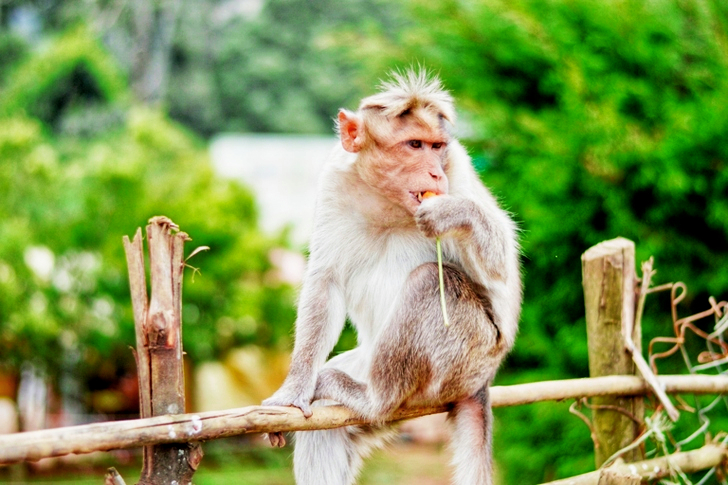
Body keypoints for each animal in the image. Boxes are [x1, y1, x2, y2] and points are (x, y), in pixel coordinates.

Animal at [262, 70, 522, 485]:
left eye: (436, 147)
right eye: (414, 145)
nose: (434, 172)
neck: (387, 200)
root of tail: (483, 380)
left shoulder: (459, 168)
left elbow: (501, 272)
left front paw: (453, 213)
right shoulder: (335, 180)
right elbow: (325, 282)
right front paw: (294, 388)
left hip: (468, 359)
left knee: (429, 281)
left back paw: (374, 399)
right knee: (325, 431)